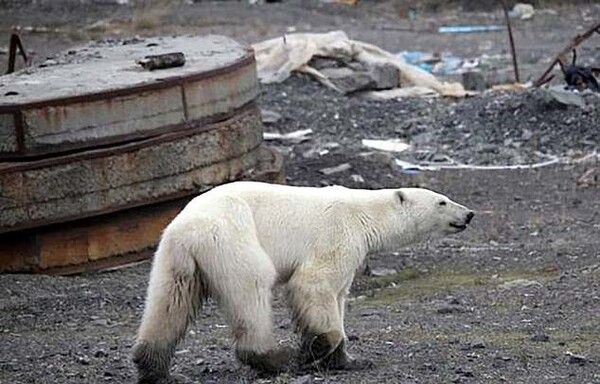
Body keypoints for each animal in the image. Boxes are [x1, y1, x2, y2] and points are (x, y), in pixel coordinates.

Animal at [131, 182, 474, 382]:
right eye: (442, 202)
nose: (469, 214)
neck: (364, 213)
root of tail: (187, 230)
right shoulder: (336, 235)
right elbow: (315, 284)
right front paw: (314, 352)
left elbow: (339, 297)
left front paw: (348, 360)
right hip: (231, 237)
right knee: (252, 289)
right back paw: (274, 358)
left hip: (173, 257)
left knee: (169, 302)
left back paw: (153, 367)